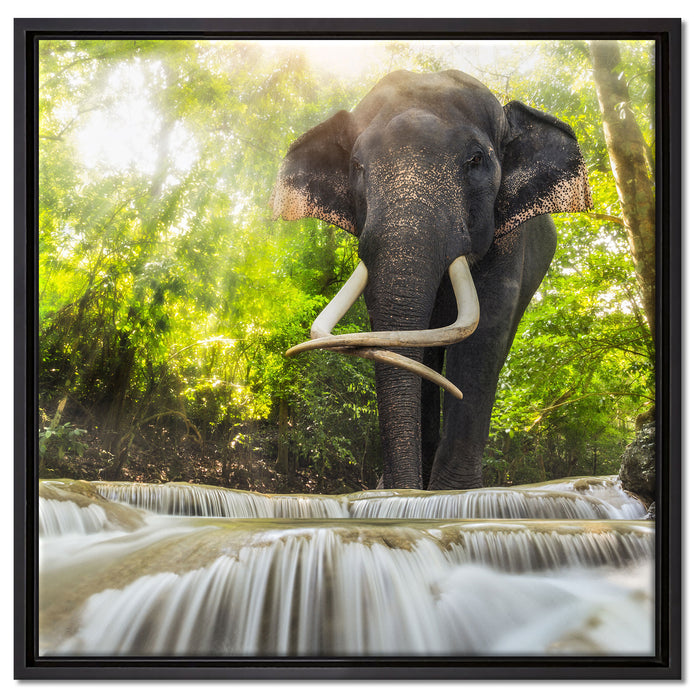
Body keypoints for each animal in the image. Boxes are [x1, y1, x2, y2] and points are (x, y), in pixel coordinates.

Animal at [270, 69, 591, 490]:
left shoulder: (508, 238)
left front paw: (454, 494)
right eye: (357, 165)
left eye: (476, 160)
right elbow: (400, 340)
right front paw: (400, 491)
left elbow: (483, 336)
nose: (394, 488)